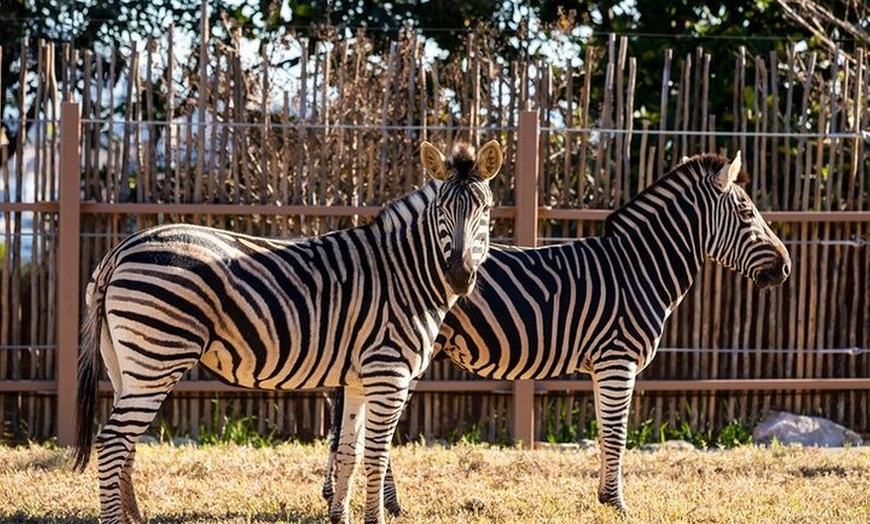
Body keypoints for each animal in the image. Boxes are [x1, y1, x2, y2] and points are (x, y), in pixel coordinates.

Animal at [73, 140, 504, 524]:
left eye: (484, 209)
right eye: (441, 211)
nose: (459, 275)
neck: (404, 272)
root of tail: (121, 249)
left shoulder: (359, 380)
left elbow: (349, 453)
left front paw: (338, 518)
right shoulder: (388, 372)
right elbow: (376, 459)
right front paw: (373, 518)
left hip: (125, 364)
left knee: (125, 444)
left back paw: (134, 518)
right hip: (158, 358)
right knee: (112, 443)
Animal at [324, 151, 792, 516]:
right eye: (748, 215)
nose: (786, 267)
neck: (639, 269)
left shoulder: (605, 367)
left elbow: (605, 432)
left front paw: (605, 498)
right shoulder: (617, 360)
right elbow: (617, 433)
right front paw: (617, 504)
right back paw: (390, 505)